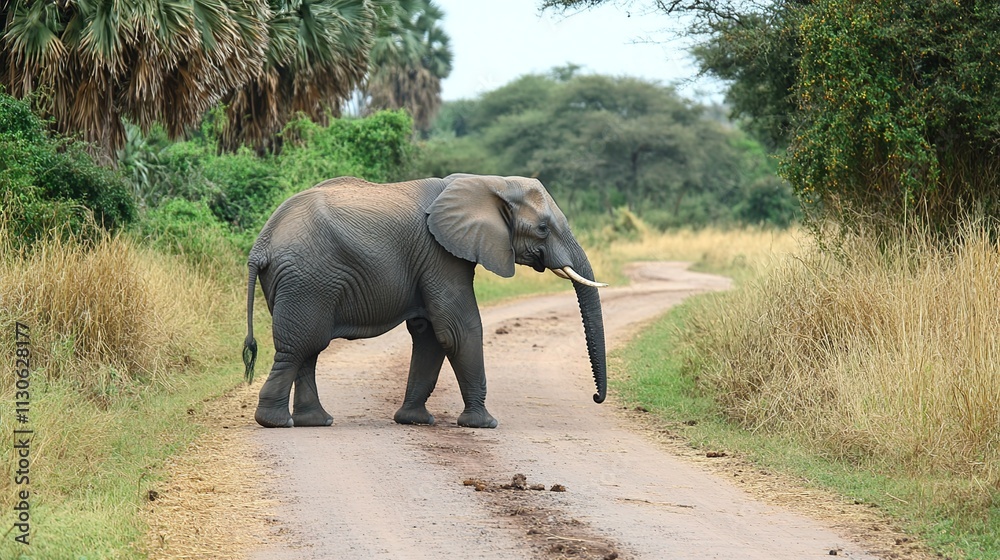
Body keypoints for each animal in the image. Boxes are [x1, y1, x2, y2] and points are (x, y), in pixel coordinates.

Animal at [242, 173, 607, 429]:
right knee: (300, 346)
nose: (596, 397)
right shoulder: (440, 255)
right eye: (543, 229)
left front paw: (414, 420)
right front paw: (484, 424)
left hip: (298, 283)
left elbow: (430, 335)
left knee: (308, 350)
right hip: (308, 280)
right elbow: (458, 331)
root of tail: (262, 244)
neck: (487, 183)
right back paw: (276, 423)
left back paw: (316, 421)